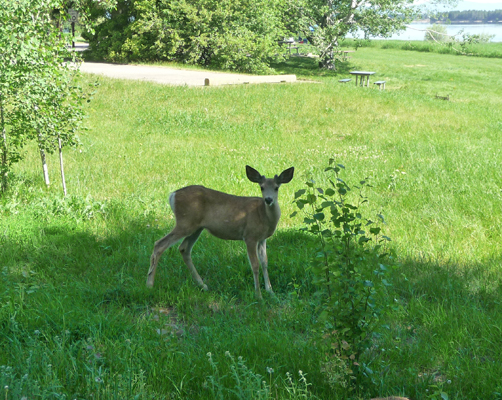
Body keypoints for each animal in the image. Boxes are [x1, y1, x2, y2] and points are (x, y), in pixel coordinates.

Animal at [145, 164, 294, 298]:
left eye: (276, 187)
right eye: (261, 187)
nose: (268, 199)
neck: (263, 216)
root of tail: (172, 195)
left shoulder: (262, 238)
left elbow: (265, 263)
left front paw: (271, 292)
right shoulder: (250, 236)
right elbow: (255, 265)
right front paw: (258, 295)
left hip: (196, 227)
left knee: (183, 248)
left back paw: (203, 285)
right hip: (185, 222)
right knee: (160, 244)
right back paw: (150, 284)